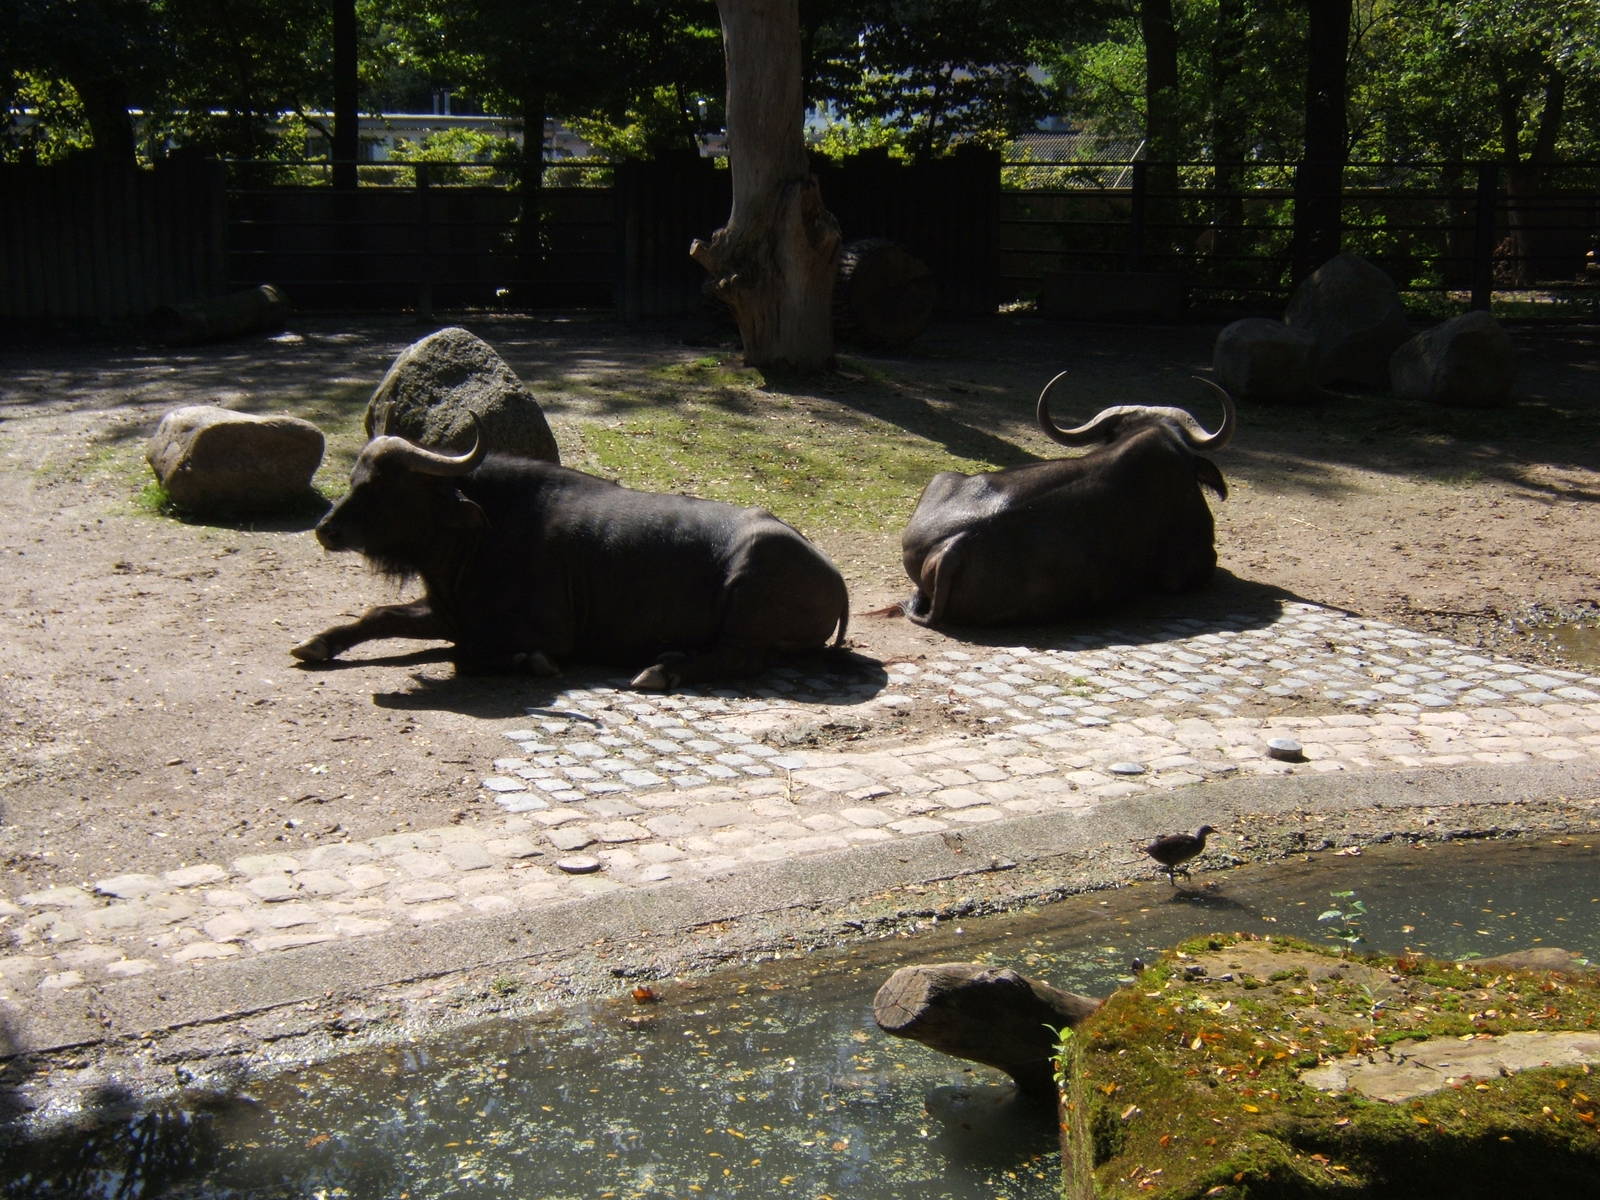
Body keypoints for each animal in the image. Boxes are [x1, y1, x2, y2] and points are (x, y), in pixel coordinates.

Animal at [292, 432, 850, 689]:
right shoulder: (448, 612)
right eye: (354, 478)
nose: (325, 529)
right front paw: (316, 643)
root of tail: (833, 576)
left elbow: (467, 655)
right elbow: (377, 616)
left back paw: (661, 670)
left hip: (747, 596)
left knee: (741, 659)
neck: (479, 534)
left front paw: (530, 662)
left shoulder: (546, 632)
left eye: (384, 487)